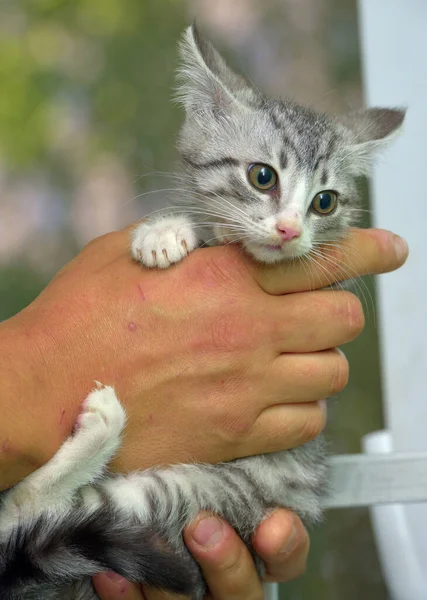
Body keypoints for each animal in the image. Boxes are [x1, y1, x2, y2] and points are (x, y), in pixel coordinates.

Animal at [0, 25, 404, 600]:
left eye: (324, 203)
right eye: (263, 176)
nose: (289, 230)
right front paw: (168, 230)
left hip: (191, 505)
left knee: (25, 514)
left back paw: (100, 431)